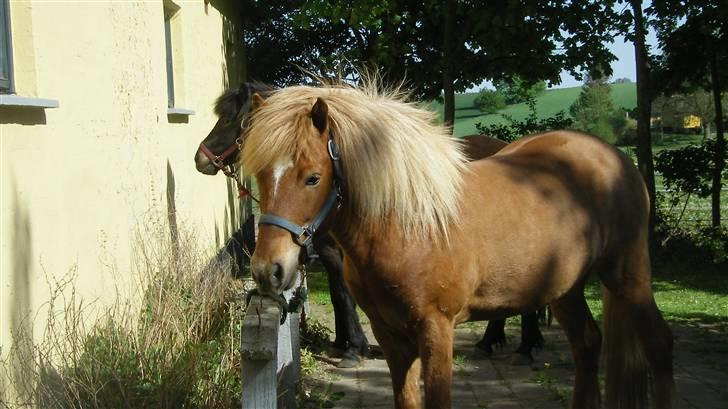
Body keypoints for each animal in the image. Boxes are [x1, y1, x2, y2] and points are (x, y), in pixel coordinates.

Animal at [242, 83, 672, 408]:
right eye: (260, 175)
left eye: (313, 178)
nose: (268, 269)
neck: (407, 224)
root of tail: (614, 157)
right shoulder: (391, 336)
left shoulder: (437, 329)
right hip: (562, 288)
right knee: (587, 344)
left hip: (628, 275)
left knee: (657, 345)